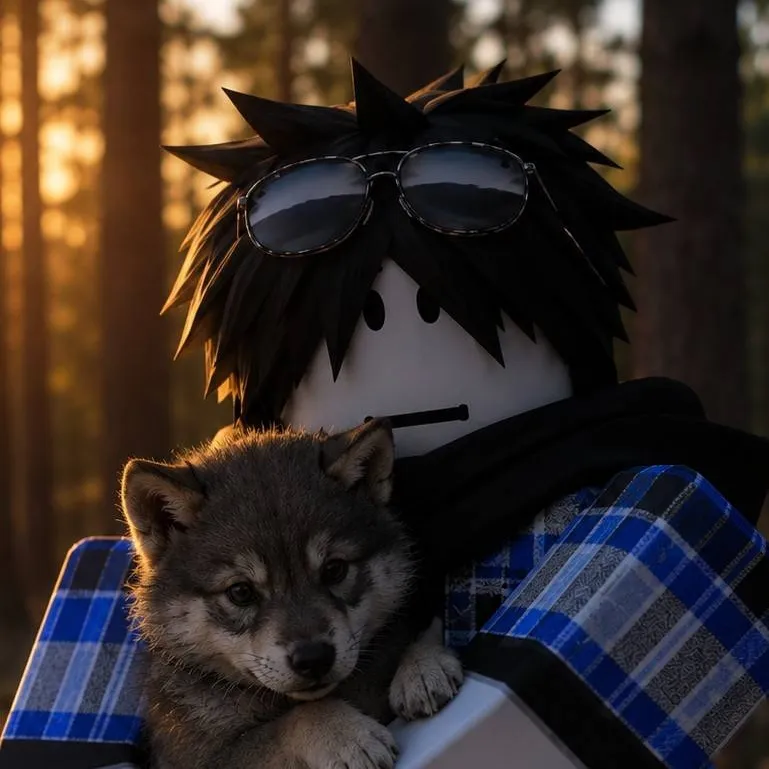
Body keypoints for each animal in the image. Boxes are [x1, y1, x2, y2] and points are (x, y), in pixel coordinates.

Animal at [121, 418, 463, 769]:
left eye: (334, 570)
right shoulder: (202, 758)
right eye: (240, 592)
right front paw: (344, 734)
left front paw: (423, 665)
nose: (314, 659)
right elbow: (296, 719)